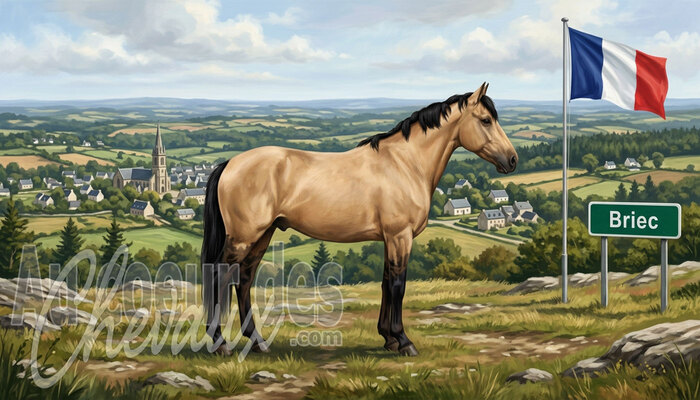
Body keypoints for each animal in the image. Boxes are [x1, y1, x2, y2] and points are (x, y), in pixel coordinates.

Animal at [201, 83, 517, 357]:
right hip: (244, 237)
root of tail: (230, 163)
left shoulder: (390, 239)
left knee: (243, 280)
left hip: (262, 235)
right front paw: (404, 341)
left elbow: (386, 282)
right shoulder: (400, 236)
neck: (405, 164)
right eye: (486, 120)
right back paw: (220, 343)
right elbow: (398, 285)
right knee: (219, 274)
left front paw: (388, 338)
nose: (512, 160)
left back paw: (257, 341)